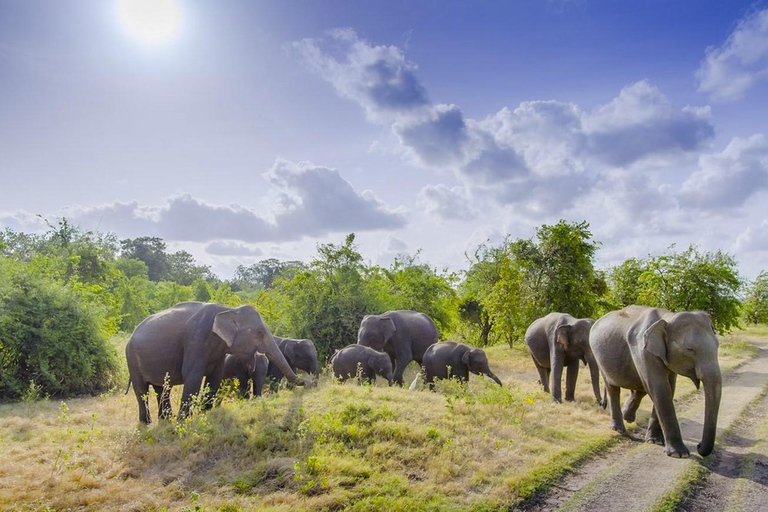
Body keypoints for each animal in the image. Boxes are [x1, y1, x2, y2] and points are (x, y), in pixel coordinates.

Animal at [125, 300, 306, 424]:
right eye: (260, 332)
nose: (307, 382)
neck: (228, 309)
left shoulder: (219, 350)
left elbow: (215, 378)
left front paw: (205, 414)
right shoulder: (195, 340)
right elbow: (192, 376)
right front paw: (184, 421)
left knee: (162, 388)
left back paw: (165, 420)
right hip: (131, 359)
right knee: (141, 390)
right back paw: (147, 424)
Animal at [588, 306, 720, 458]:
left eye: (718, 346)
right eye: (690, 350)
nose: (698, 446)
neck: (668, 317)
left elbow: (669, 388)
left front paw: (654, 441)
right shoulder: (643, 350)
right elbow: (660, 388)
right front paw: (679, 454)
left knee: (640, 388)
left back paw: (628, 417)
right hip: (598, 356)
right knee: (613, 388)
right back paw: (618, 429)